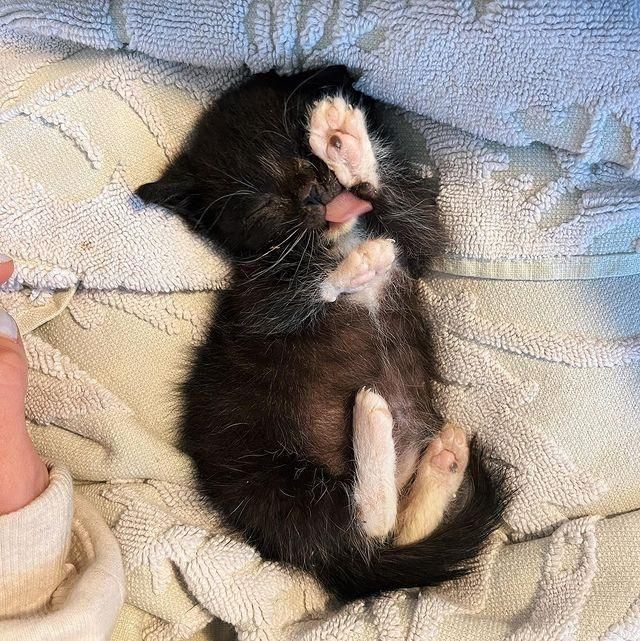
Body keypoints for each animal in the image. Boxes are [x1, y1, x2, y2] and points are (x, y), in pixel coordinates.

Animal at [138, 67, 508, 596]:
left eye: (300, 151)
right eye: (264, 203)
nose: (314, 193)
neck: (338, 237)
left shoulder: (414, 246)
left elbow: (421, 223)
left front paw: (346, 140)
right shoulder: (253, 299)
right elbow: (288, 302)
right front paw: (355, 267)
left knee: (397, 530)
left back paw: (442, 461)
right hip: (271, 485)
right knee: (368, 527)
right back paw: (373, 423)